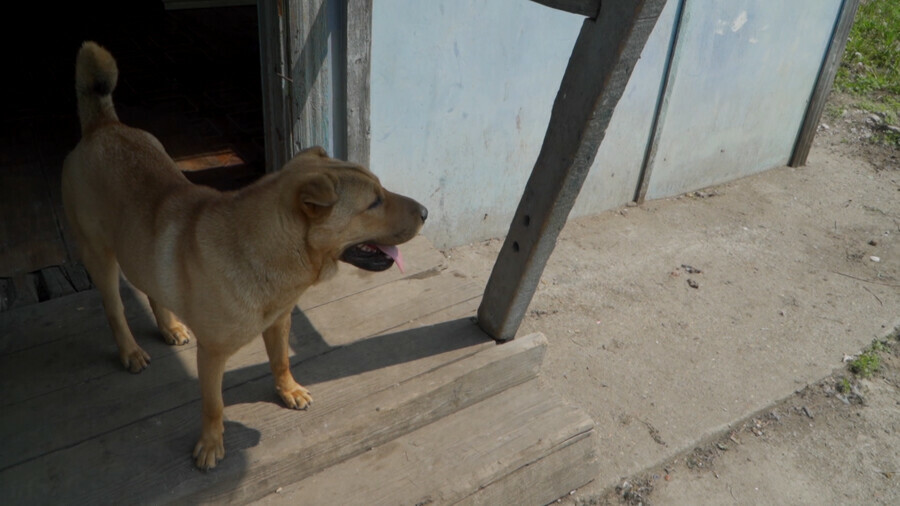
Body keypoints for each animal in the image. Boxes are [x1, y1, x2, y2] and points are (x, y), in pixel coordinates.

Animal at [61, 42, 428, 470]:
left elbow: (281, 360)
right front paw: (211, 444)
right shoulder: (211, 355)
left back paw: (169, 326)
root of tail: (102, 126)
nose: (426, 212)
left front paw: (288, 390)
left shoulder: (280, 321)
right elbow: (214, 405)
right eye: (374, 202)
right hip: (100, 256)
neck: (275, 254)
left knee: (152, 289)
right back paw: (130, 350)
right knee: (115, 309)